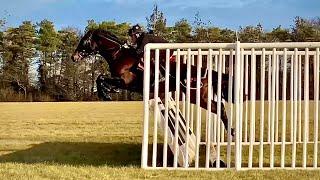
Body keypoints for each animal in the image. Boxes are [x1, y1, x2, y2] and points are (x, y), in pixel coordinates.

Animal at [71, 28, 234, 136]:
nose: (74, 57)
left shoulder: (125, 81)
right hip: (196, 96)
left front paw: (105, 94)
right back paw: (231, 131)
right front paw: (108, 91)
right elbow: (102, 78)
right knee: (218, 107)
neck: (119, 55)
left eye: (84, 41)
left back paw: (231, 132)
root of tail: (206, 72)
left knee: (219, 107)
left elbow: (101, 78)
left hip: (198, 95)